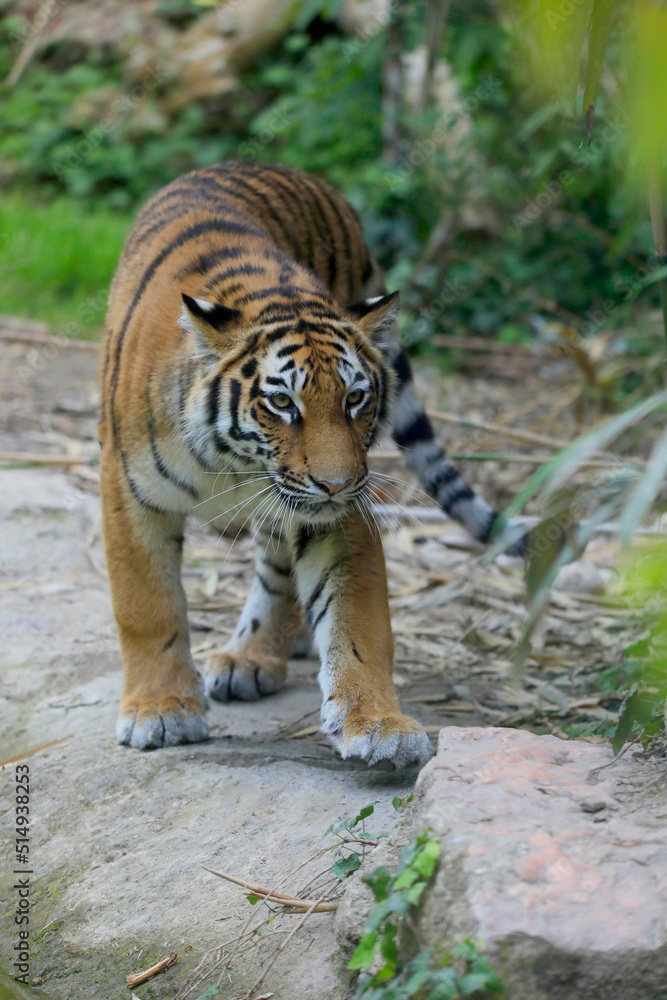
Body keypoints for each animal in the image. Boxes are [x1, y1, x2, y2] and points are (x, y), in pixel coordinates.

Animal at [99, 159, 522, 767]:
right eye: (282, 403)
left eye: (355, 399)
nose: (336, 482)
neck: (234, 463)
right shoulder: (129, 492)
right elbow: (146, 605)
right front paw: (160, 710)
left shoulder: (340, 516)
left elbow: (359, 623)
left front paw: (380, 725)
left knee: (276, 570)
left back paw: (255, 655)